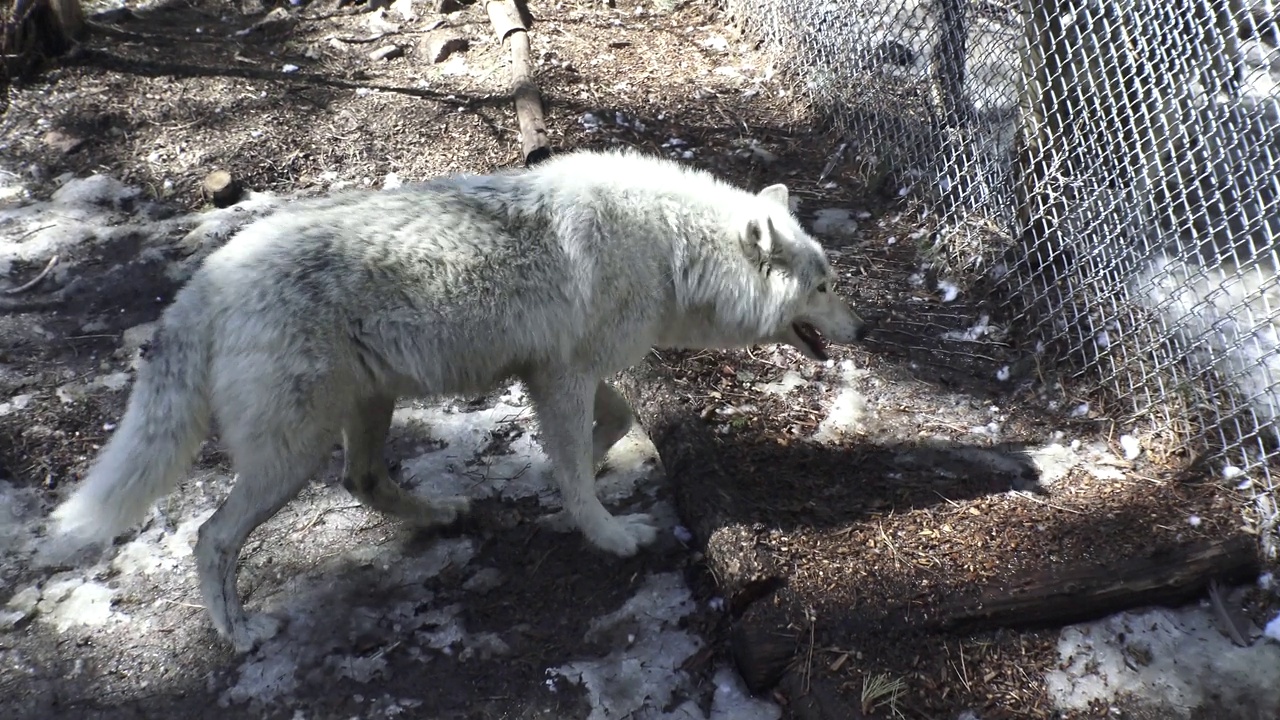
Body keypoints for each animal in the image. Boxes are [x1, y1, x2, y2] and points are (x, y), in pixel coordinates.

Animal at [47, 147, 870, 650]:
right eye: (825, 285)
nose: (864, 329)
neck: (671, 248)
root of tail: (206, 279)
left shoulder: (563, 371)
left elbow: (613, 424)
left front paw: (576, 476)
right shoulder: (564, 375)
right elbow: (581, 472)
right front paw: (606, 534)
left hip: (364, 410)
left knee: (363, 481)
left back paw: (444, 514)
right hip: (292, 452)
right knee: (213, 537)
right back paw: (239, 632)